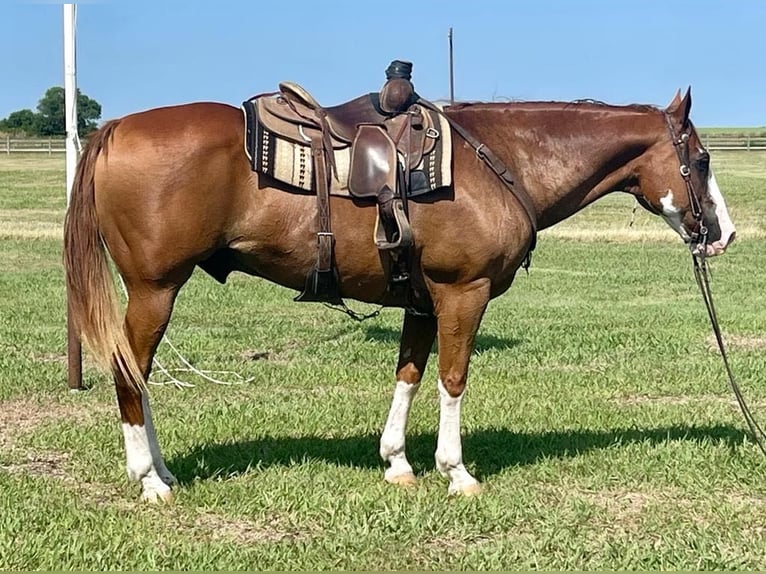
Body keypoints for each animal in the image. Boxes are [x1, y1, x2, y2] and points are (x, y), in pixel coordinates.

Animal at [66, 86, 736, 504]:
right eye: (701, 160)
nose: (724, 234)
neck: (501, 160)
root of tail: (116, 128)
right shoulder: (463, 293)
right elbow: (452, 379)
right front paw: (456, 471)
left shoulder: (421, 299)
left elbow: (409, 375)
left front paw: (397, 463)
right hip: (155, 289)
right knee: (130, 374)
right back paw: (149, 480)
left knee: (139, 376)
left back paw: (163, 470)